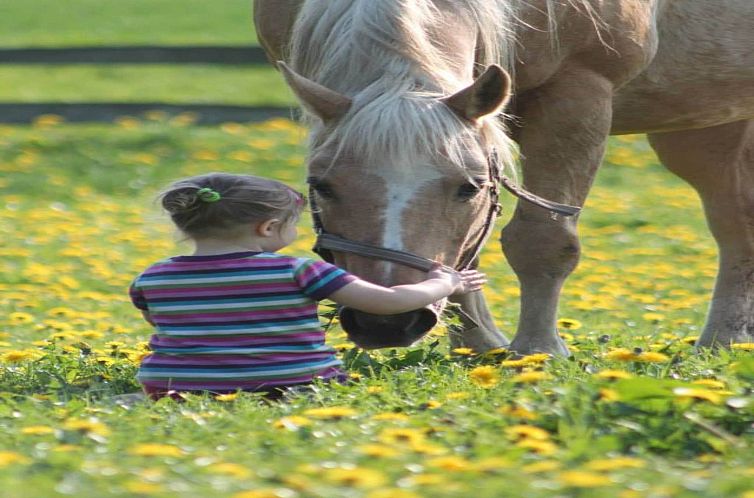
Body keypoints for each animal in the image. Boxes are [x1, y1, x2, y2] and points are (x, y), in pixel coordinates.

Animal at [251, 0, 752, 358]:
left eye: (468, 187)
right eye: (322, 185)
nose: (388, 321)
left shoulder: (577, 94)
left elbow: (544, 240)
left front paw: (537, 350)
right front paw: (478, 345)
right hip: (703, 134)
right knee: (736, 227)